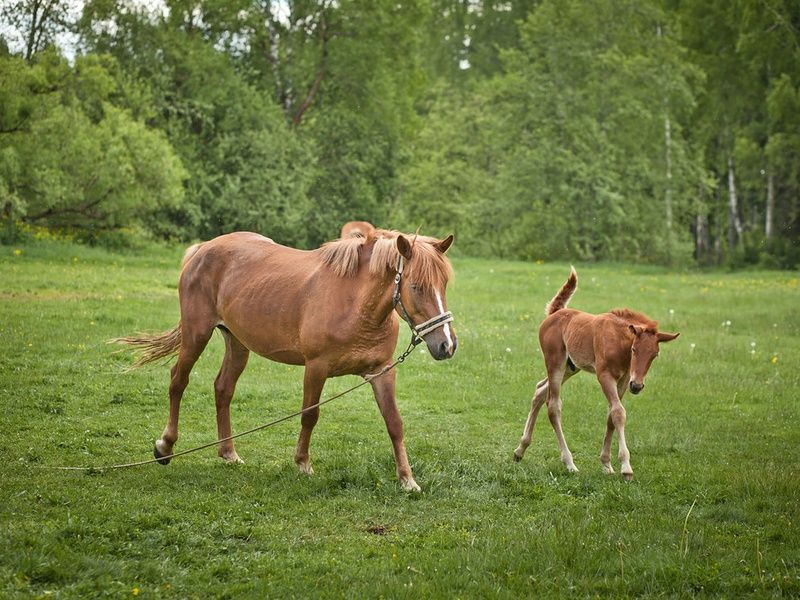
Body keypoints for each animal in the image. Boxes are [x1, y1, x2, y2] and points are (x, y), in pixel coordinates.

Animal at [117, 227, 456, 490]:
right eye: (416, 286)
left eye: (443, 285)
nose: (446, 345)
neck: (354, 303)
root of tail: (203, 249)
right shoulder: (316, 368)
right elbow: (309, 415)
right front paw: (303, 463)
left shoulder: (382, 372)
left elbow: (394, 423)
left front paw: (407, 480)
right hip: (196, 334)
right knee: (178, 380)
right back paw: (165, 446)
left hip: (237, 343)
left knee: (223, 389)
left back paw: (228, 452)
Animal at [516, 270, 680, 480]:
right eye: (634, 349)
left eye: (655, 355)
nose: (637, 386)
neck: (618, 342)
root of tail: (555, 313)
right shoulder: (604, 376)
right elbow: (618, 412)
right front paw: (626, 467)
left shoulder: (623, 380)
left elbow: (611, 415)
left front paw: (606, 464)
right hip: (555, 364)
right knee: (553, 406)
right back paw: (569, 463)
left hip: (571, 367)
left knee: (539, 390)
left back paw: (520, 450)